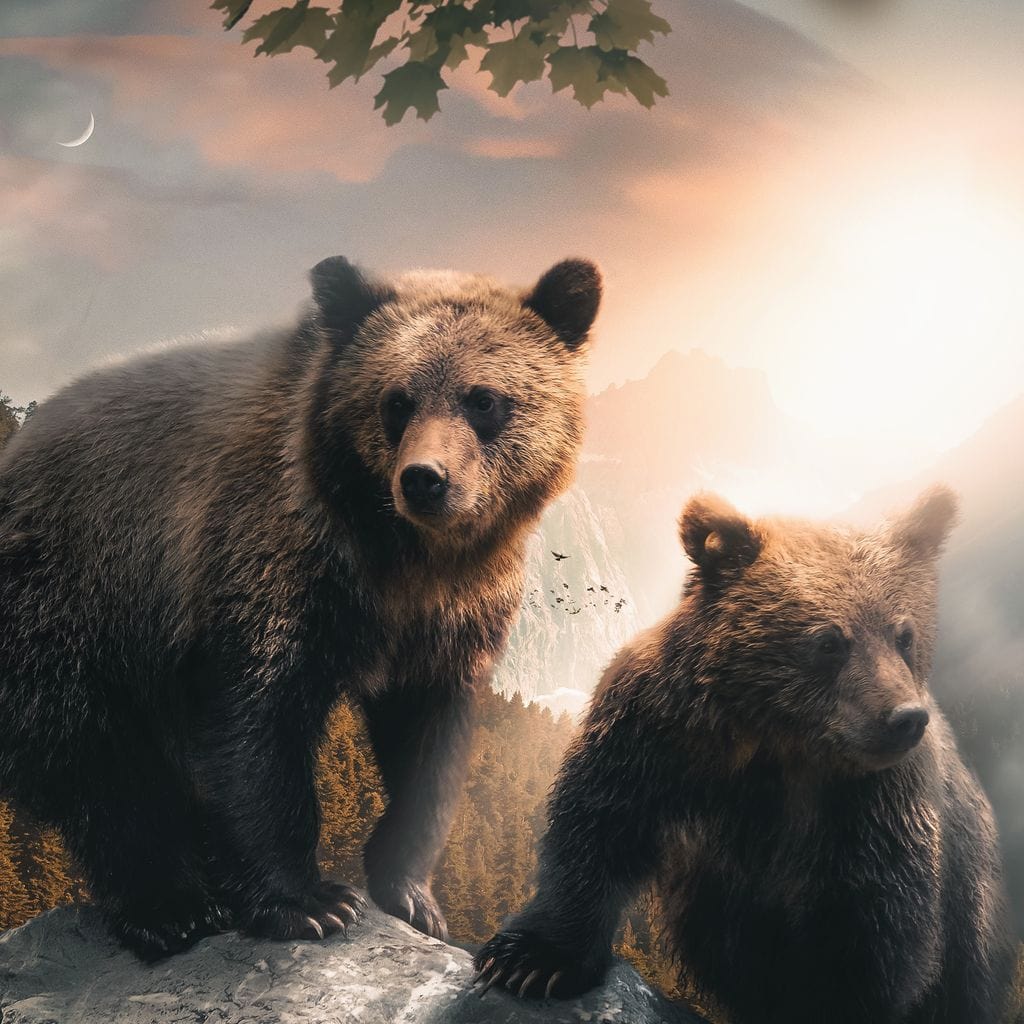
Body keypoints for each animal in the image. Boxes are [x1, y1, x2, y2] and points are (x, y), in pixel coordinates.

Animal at [0, 254, 602, 960]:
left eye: (484, 399)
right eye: (396, 401)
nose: (425, 479)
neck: (399, 557)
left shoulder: (451, 618)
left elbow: (428, 741)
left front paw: (412, 896)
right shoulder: (268, 560)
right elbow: (255, 726)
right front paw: (309, 902)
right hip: (69, 599)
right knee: (100, 763)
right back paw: (172, 906)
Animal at [474, 489, 1015, 1023]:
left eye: (904, 635)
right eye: (829, 640)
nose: (905, 718)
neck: (773, 734)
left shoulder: (869, 800)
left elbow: (872, 923)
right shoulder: (657, 732)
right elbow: (597, 826)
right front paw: (531, 960)